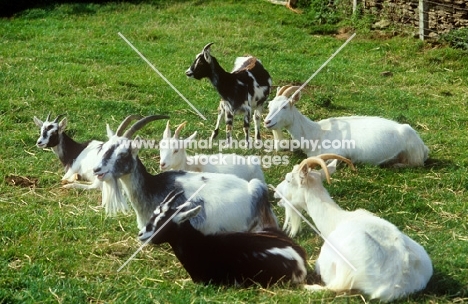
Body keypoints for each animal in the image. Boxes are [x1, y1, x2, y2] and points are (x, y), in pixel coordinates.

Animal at [264, 85, 428, 166]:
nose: (267, 122)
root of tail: (423, 147)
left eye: (284, 106)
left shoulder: (338, 152)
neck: (315, 133)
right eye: (269, 105)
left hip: (413, 154)